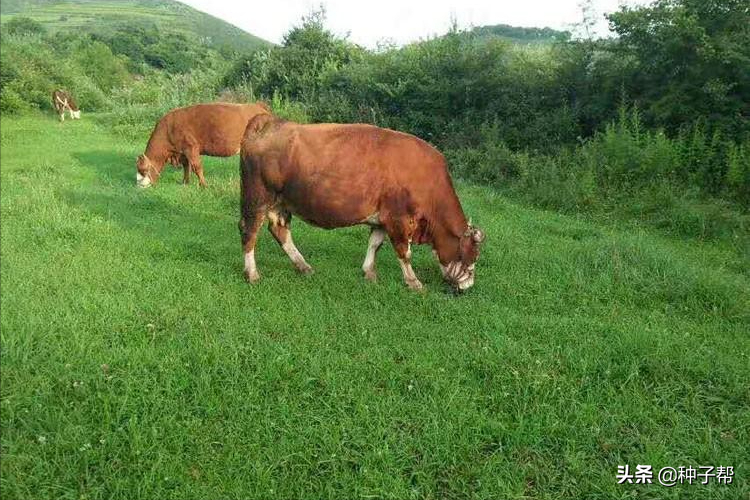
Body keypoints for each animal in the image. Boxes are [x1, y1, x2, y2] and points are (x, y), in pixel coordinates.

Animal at [138, 102, 274, 188]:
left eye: (143, 170)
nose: (139, 186)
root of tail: (259, 106)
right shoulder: (183, 151)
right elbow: (186, 166)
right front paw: (185, 182)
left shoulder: (191, 147)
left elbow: (197, 167)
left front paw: (203, 185)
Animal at [239, 115, 488, 292]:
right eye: (471, 256)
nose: (468, 286)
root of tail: (267, 121)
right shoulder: (398, 219)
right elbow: (404, 252)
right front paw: (414, 282)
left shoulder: (382, 218)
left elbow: (375, 244)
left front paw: (369, 272)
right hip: (257, 197)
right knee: (249, 230)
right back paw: (252, 274)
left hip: (281, 202)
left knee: (280, 230)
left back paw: (303, 266)